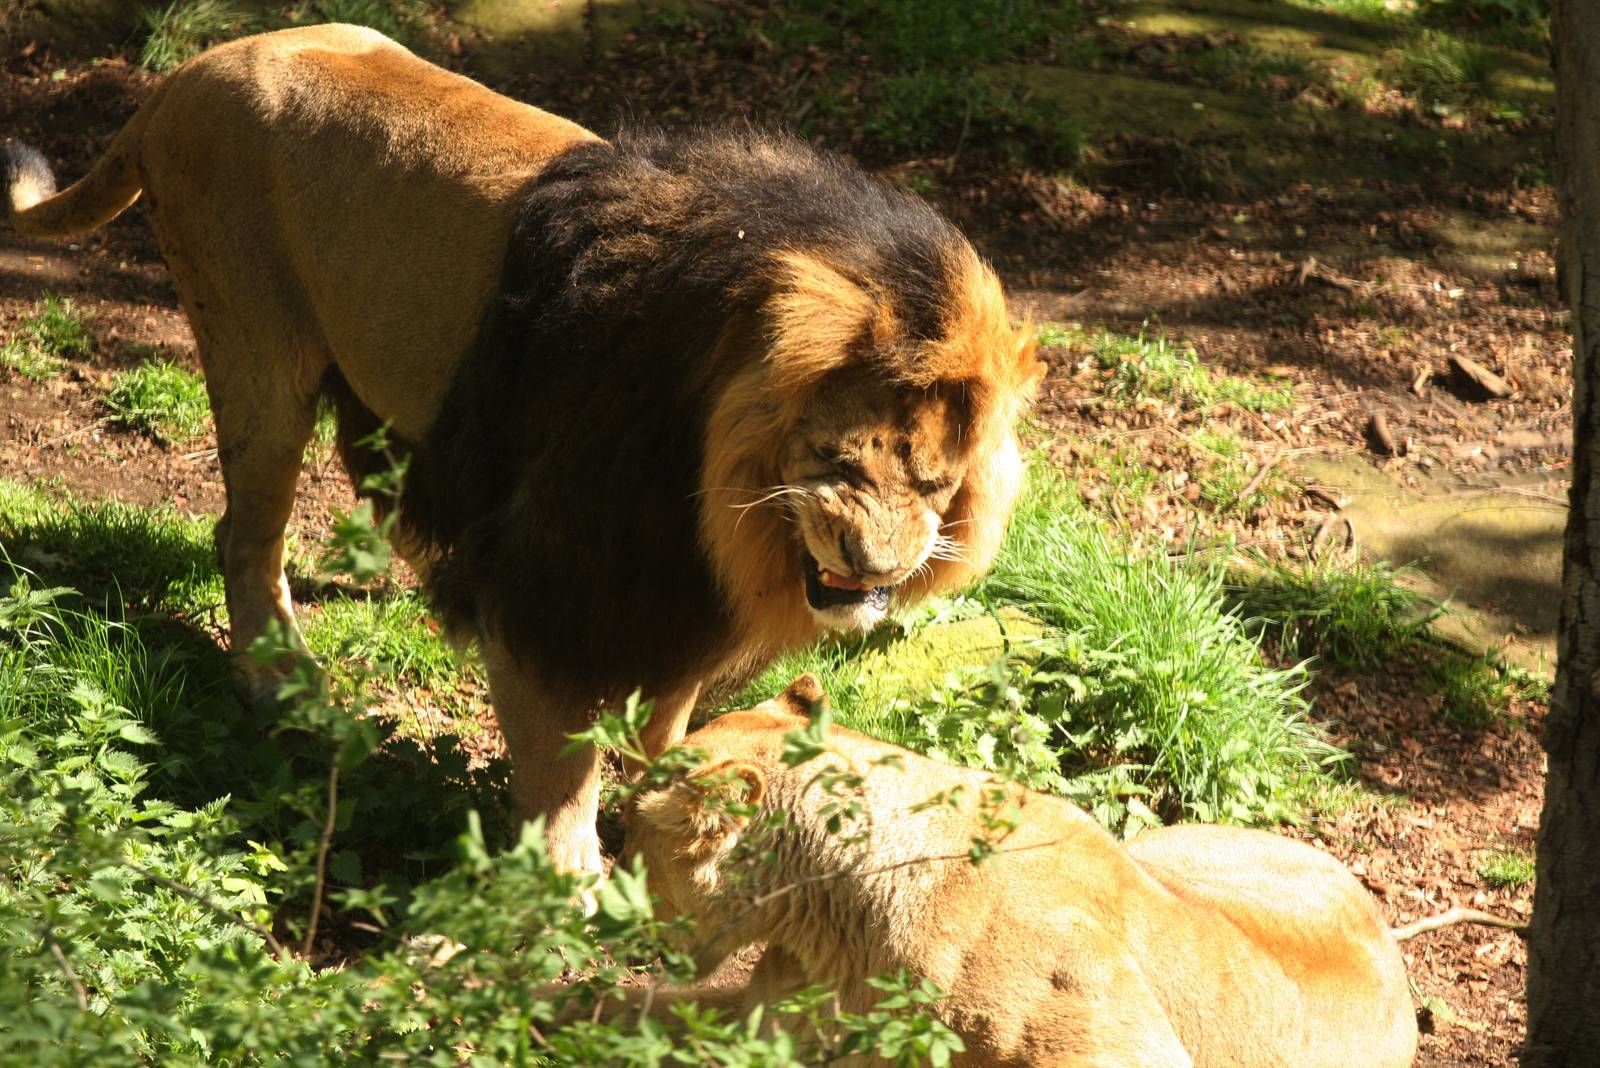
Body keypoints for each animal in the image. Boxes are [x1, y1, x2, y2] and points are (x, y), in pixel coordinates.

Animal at [3, 25, 1041, 877]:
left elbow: (665, 718)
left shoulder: (677, 591)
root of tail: (178, 78)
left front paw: (672, 803)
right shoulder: (555, 577)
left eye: (936, 481)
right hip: (257, 353)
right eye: (833, 457)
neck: (719, 497)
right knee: (245, 537)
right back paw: (280, 683)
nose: (875, 568)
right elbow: (558, 749)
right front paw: (567, 875)